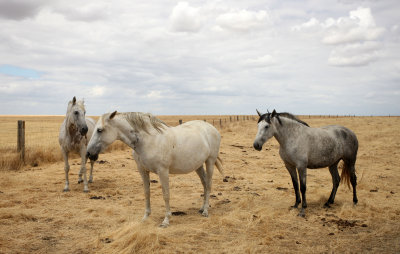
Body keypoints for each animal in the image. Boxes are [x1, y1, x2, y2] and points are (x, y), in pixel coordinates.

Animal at [86, 112, 223, 227]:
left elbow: (166, 194)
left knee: (209, 184)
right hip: (198, 165)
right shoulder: (143, 171)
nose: (89, 153)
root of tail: (211, 128)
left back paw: (205, 211)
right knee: (204, 183)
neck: (148, 140)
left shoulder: (163, 171)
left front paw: (166, 220)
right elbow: (147, 193)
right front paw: (146, 217)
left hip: (210, 161)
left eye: (99, 130)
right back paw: (202, 208)